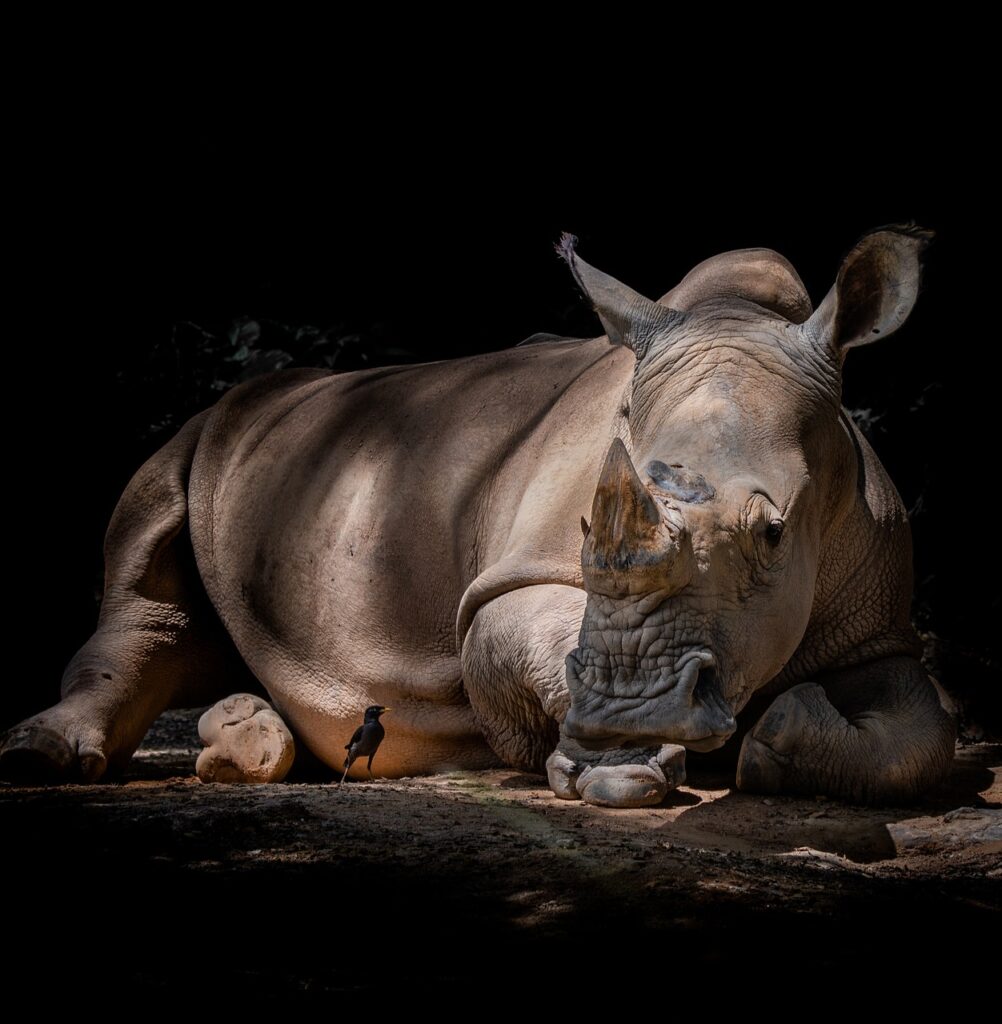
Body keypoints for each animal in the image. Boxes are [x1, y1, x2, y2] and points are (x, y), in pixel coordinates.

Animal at [0, 225, 956, 807]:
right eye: (586, 530)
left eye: (773, 533)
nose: (634, 712)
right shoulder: (517, 579)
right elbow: (521, 635)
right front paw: (612, 770)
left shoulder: (879, 628)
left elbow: (924, 735)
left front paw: (770, 743)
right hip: (208, 430)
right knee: (145, 569)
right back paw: (43, 757)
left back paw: (248, 745)